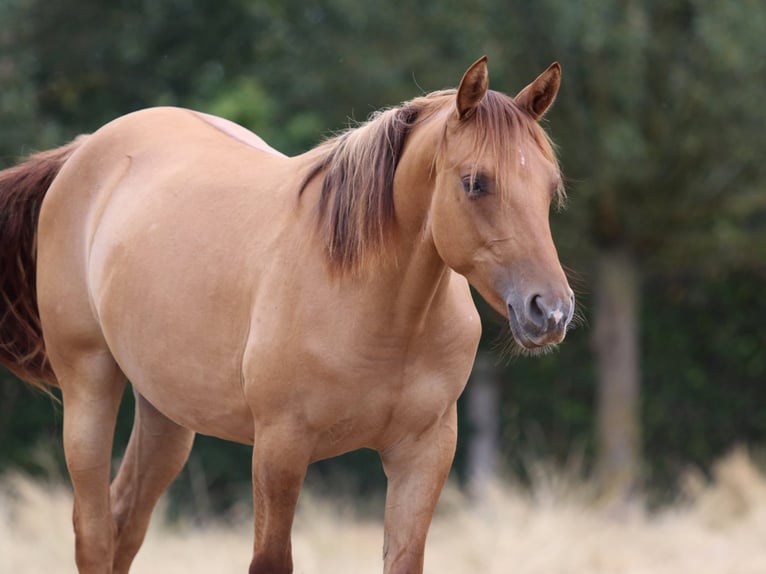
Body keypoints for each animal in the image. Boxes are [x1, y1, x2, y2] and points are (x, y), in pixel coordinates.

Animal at [0, 56, 574, 573]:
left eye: (549, 187)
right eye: (475, 182)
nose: (550, 311)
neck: (382, 314)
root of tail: (83, 150)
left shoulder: (425, 452)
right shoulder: (280, 449)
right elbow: (270, 561)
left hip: (166, 412)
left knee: (127, 522)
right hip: (89, 384)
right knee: (95, 532)